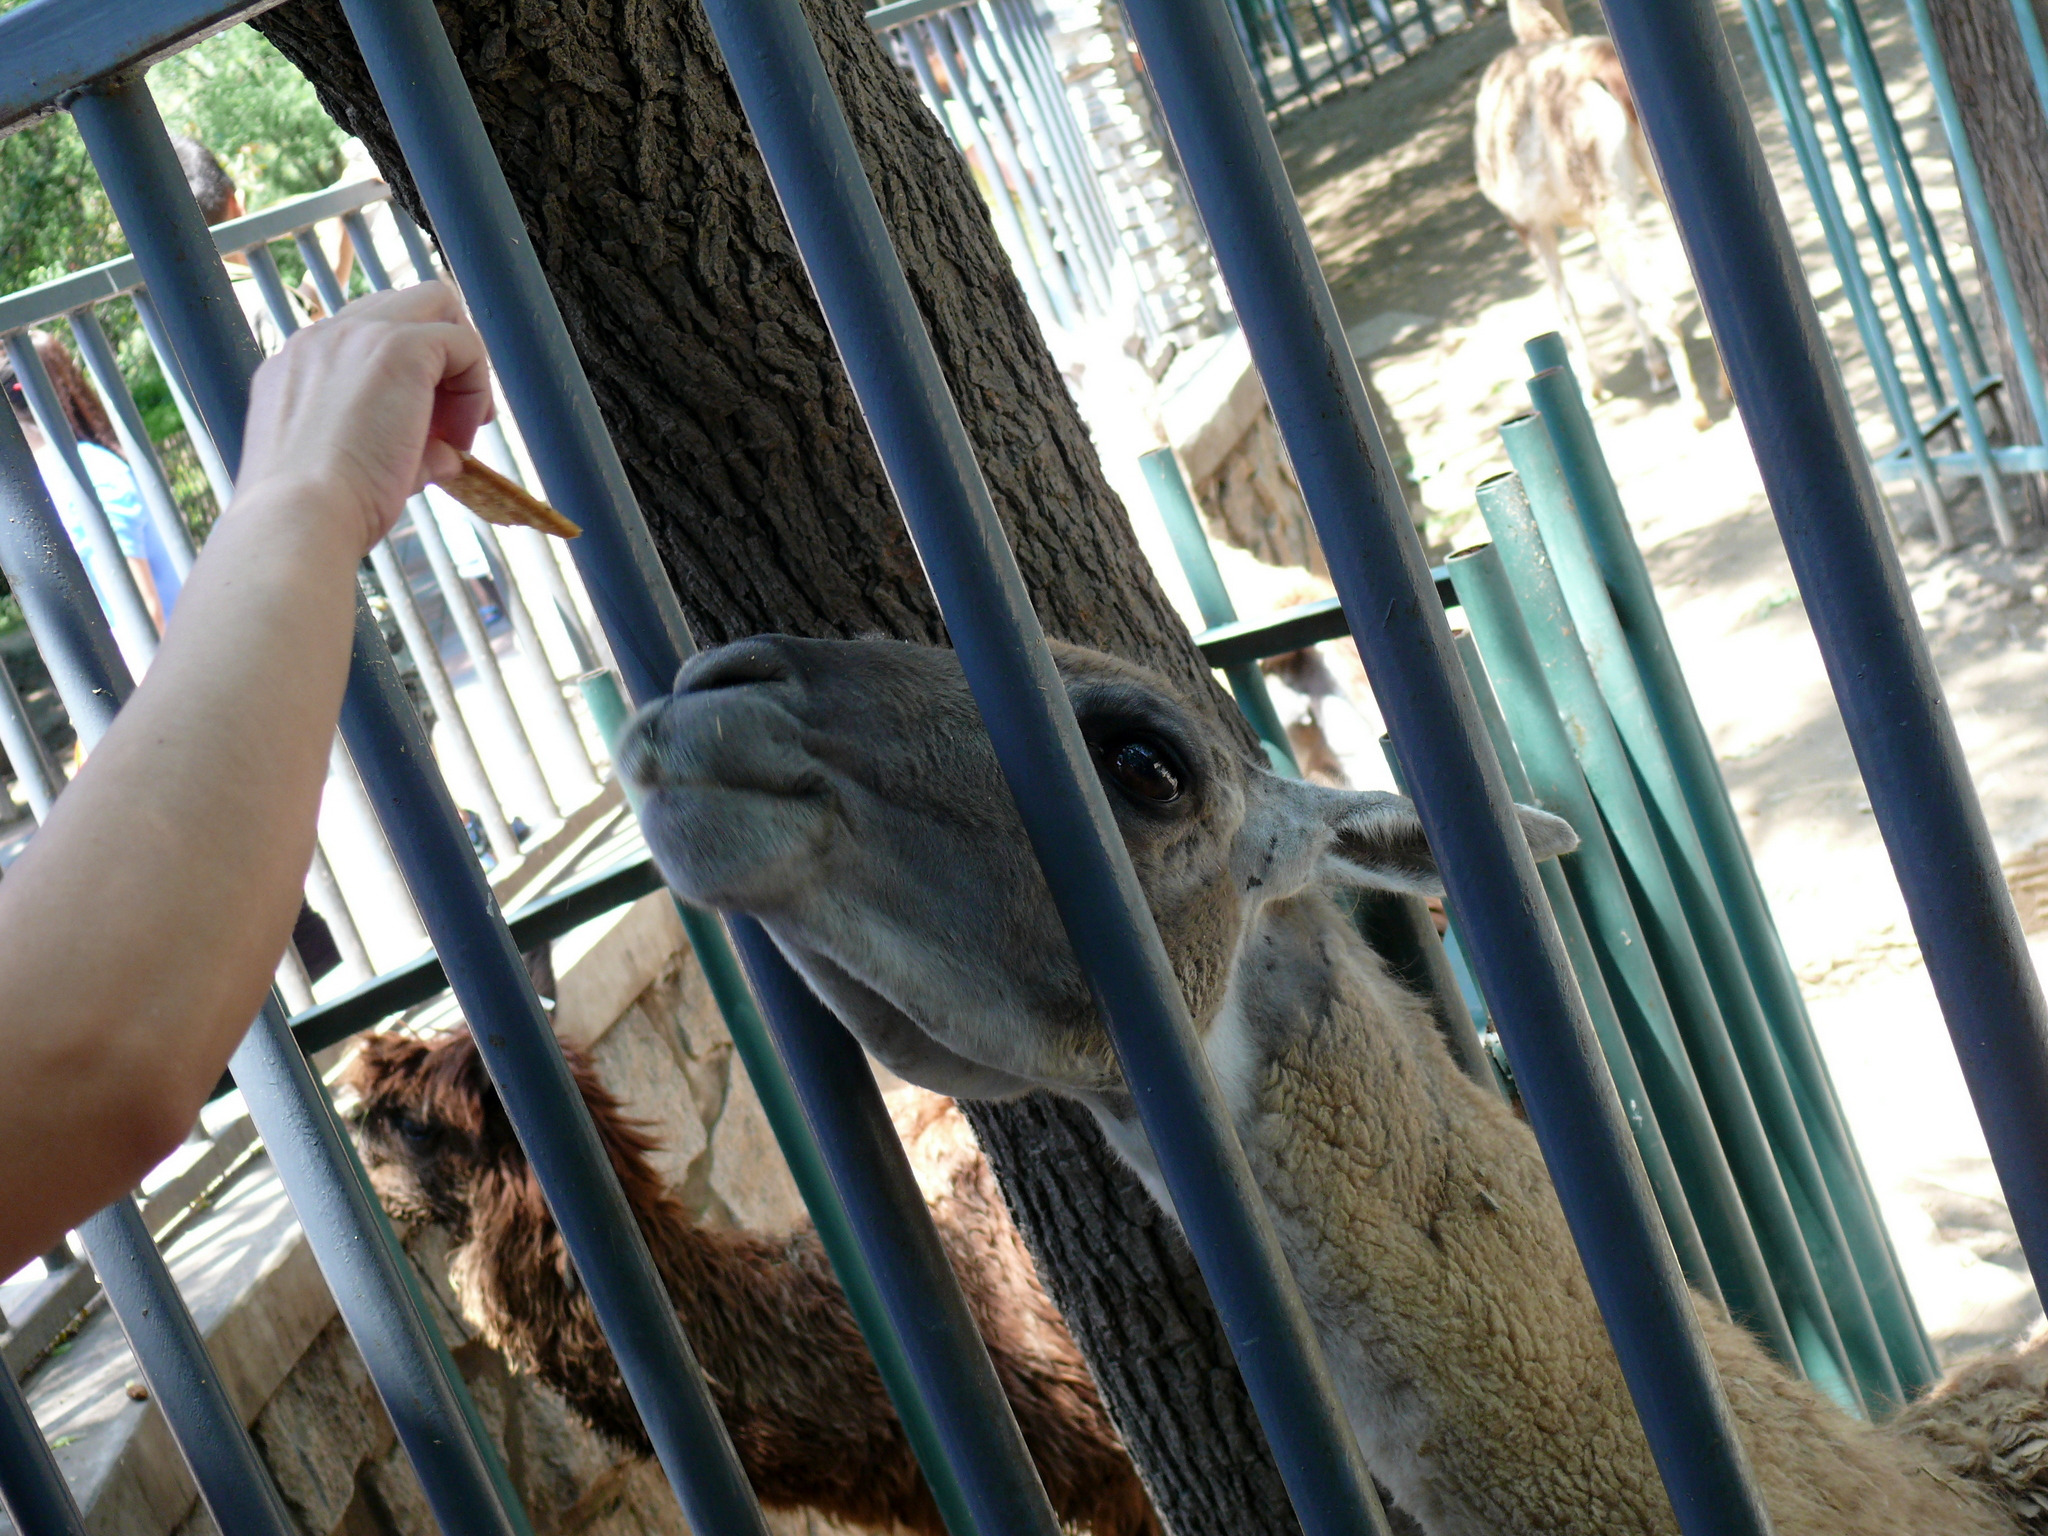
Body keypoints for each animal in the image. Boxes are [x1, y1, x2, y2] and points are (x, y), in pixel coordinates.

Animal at [1473, 0, 1717, 430]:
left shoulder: (1528, 224)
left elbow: (1564, 302)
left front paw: (1592, 388)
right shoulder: (1586, 217)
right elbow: (1618, 287)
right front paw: (1654, 370)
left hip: (1603, 196)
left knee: (1661, 300)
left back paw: (1696, 411)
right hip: (1645, 185)